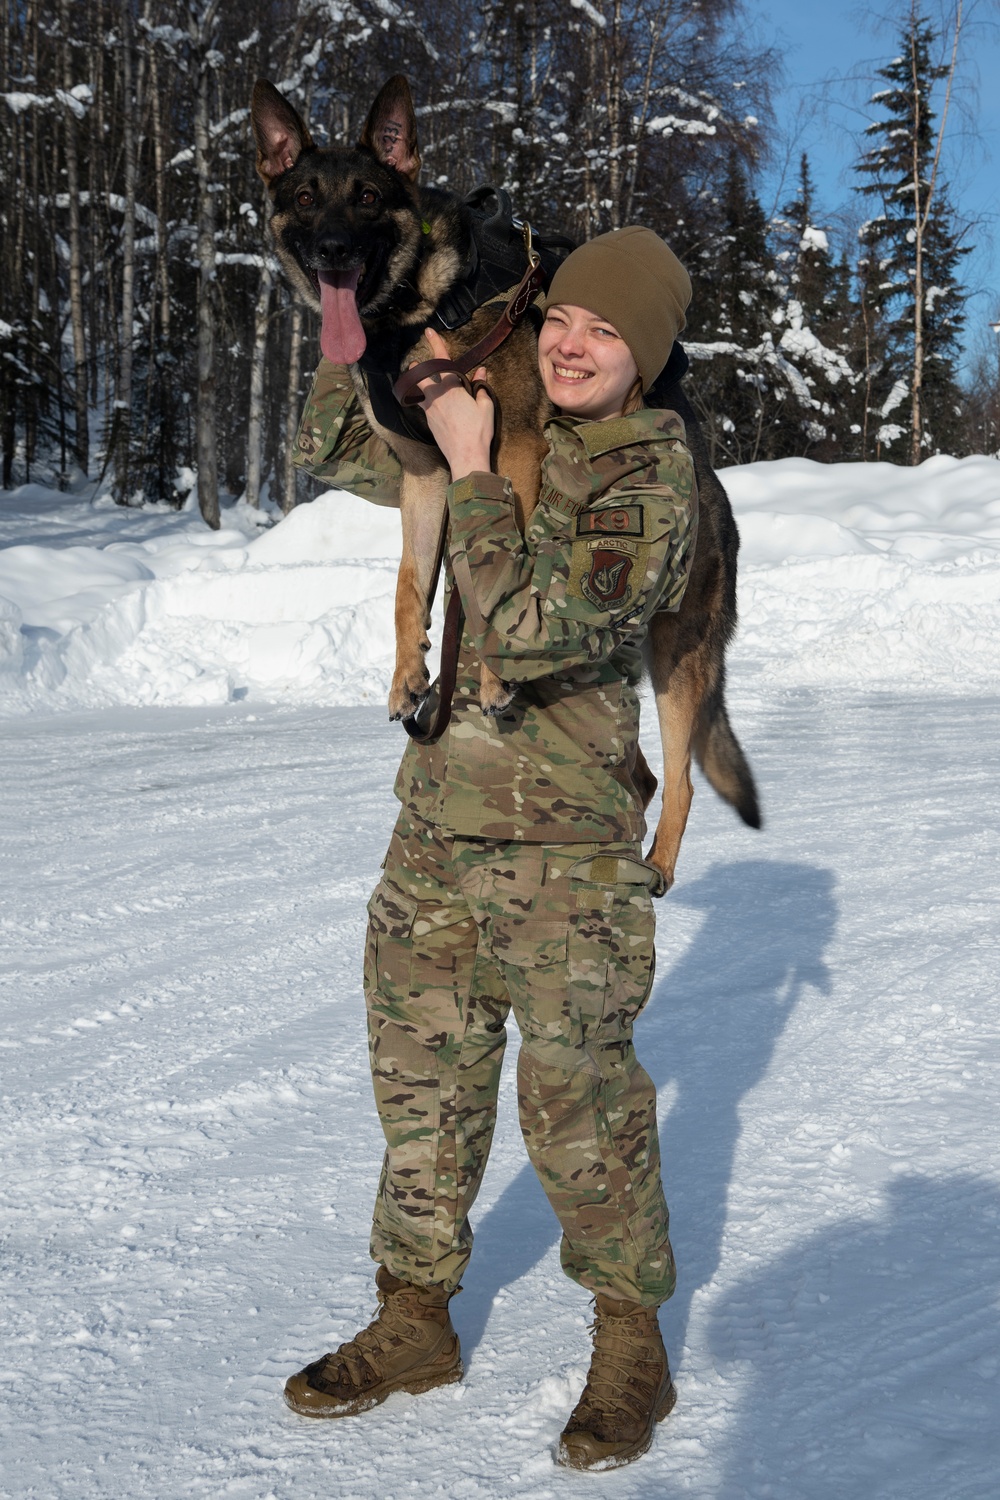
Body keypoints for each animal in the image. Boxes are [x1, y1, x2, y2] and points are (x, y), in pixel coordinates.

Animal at [250, 76, 758, 882]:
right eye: (304, 197)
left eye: (366, 197)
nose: (332, 251)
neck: (417, 306)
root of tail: (721, 506)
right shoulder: (427, 473)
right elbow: (410, 585)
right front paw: (408, 674)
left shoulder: (512, 443)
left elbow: (497, 574)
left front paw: (491, 678)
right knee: (643, 777)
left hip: (681, 659)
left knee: (679, 777)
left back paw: (656, 865)